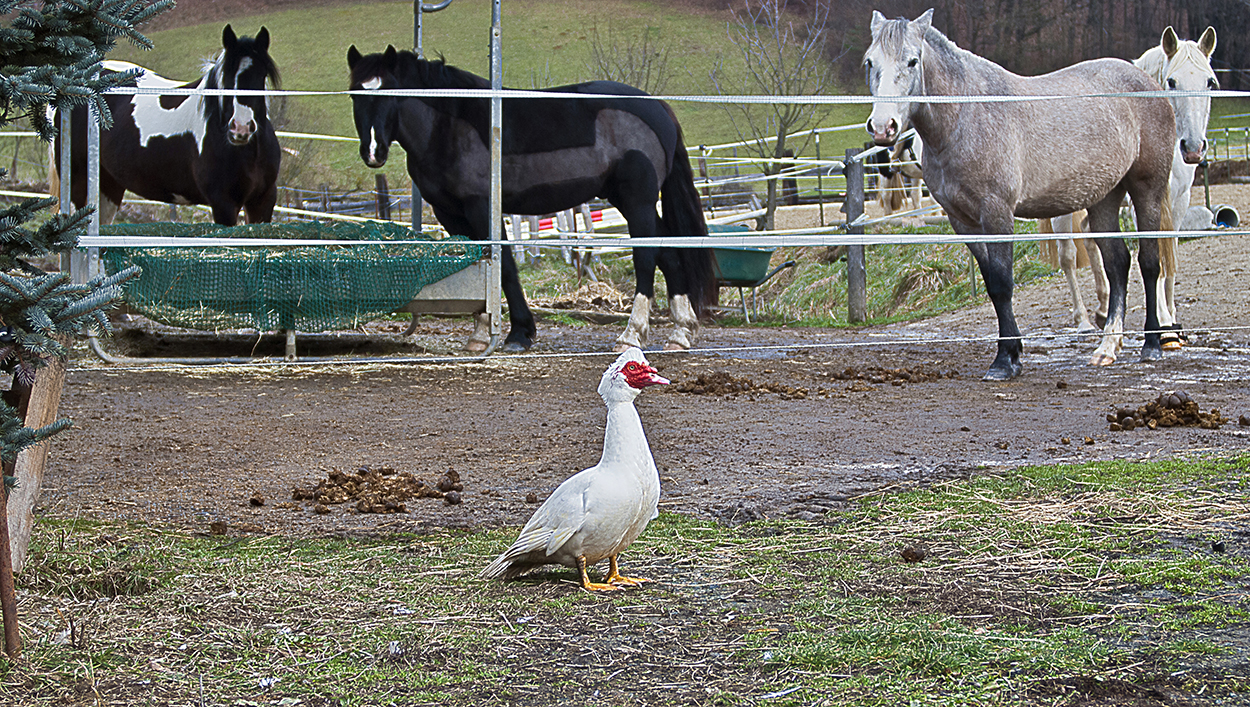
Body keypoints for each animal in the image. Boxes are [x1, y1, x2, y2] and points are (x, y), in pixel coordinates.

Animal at [55, 25, 278, 224]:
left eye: (261, 75)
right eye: (227, 77)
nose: (240, 128)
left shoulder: (262, 202)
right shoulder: (223, 204)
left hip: (108, 186)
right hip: (78, 183)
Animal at [347, 44, 720, 354]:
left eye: (389, 93)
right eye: (354, 95)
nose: (373, 152)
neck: (448, 123)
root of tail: (659, 109)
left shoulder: (482, 207)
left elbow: (505, 267)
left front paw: (518, 334)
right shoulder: (450, 214)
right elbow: (480, 264)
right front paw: (481, 334)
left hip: (637, 200)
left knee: (646, 258)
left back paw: (632, 335)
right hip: (626, 200)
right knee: (669, 253)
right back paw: (680, 332)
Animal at [865, 9, 1175, 382]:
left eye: (912, 61)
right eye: (870, 62)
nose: (884, 127)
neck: (966, 117)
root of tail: (1147, 82)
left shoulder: (997, 214)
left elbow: (1003, 283)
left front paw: (1004, 361)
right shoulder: (963, 221)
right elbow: (991, 285)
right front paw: (1013, 354)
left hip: (1147, 189)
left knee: (1149, 262)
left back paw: (1152, 344)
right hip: (1104, 198)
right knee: (1118, 263)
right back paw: (1107, 347)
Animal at [1040, 27, 1215, 347]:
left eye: (1209, 81)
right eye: (1172, 81)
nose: (1194, 148)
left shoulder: (1179, 200)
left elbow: (1170, 253)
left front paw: (1172, 318)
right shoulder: (1143, 201)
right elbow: (1155, 255)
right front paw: (1164, 327)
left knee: (1090, 239)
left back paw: (1103, 309)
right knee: (1068, 255)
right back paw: (1083, 321)